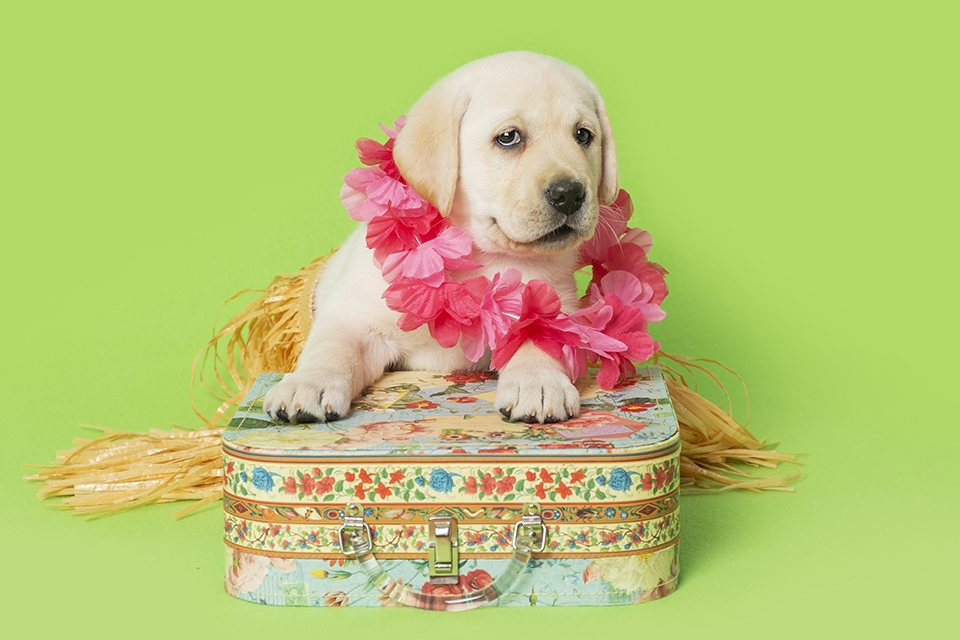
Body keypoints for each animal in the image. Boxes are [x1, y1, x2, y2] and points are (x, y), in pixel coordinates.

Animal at [266, 51, 620, 424]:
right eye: (509, 137)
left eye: (583, 135)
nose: (570, 194)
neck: (479, 256)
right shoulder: (355, 318)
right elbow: (332, 349)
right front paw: (307, 384)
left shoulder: (556, 308)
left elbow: (538, 340)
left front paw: (538, 382)